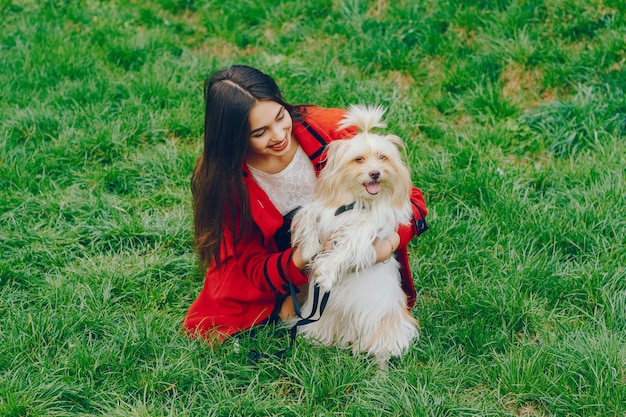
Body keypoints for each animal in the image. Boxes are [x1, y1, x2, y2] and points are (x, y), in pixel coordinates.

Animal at [290, 105, 416, 368]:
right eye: (359, 159)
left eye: (382, 157)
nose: (375, 173)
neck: (356, 202)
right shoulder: (323, 210)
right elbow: (309, 217)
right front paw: (309, 248)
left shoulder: (367, 232)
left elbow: (346, 246)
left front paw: (325, 273)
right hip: (323, 316)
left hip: (380, 326)